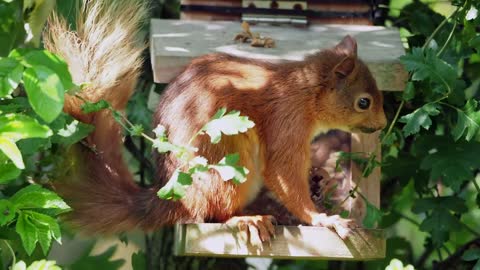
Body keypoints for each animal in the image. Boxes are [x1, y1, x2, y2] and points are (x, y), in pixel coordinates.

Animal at [46, 0, 386, 245]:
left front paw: (318, 177)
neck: (305, 93)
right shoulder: (286, 119)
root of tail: (174, 199)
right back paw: (246, 219)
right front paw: (324, 219)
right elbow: (284, 173)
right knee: (209, 215)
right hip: (228, 168)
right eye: (364, 102)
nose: (383, 124)